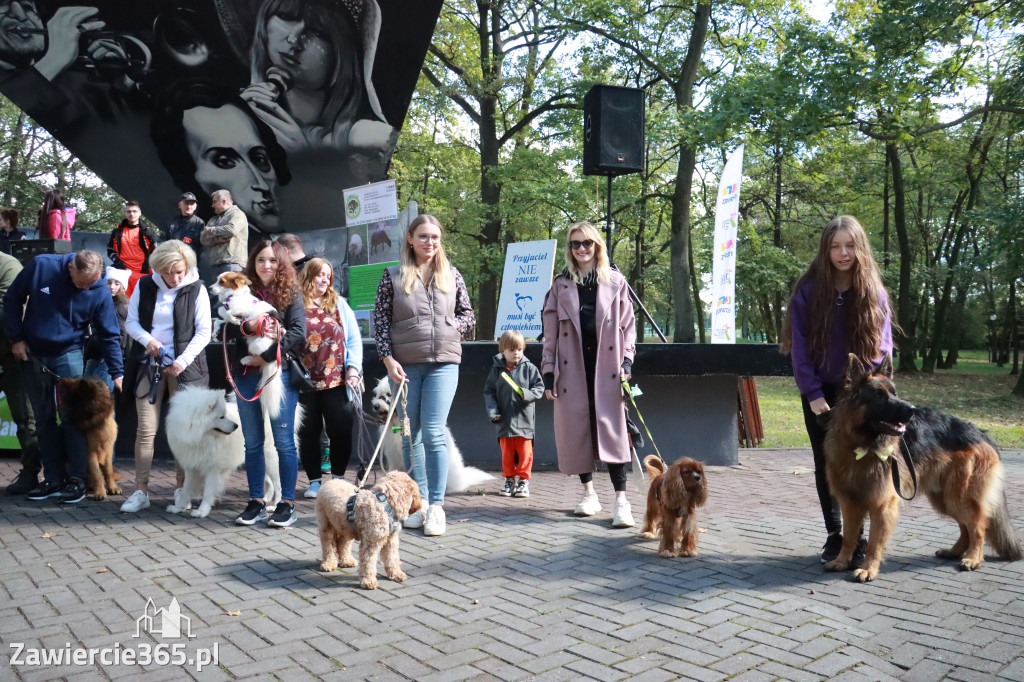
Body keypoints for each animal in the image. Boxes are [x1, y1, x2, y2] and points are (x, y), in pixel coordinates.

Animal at [823, 352, 1024, 581]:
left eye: (895, 393)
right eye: (879, 395)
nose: (911, 410)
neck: (862, 446)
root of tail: (981, 433)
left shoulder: (881, 504)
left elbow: (874, 541)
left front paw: (868, 569)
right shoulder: (849, 503)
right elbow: (848, 537)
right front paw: (841, 561)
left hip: (959, 496)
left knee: (978, 527)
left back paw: (973, 558)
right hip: (944, 498)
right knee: (966, 527)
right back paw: (954, 552)